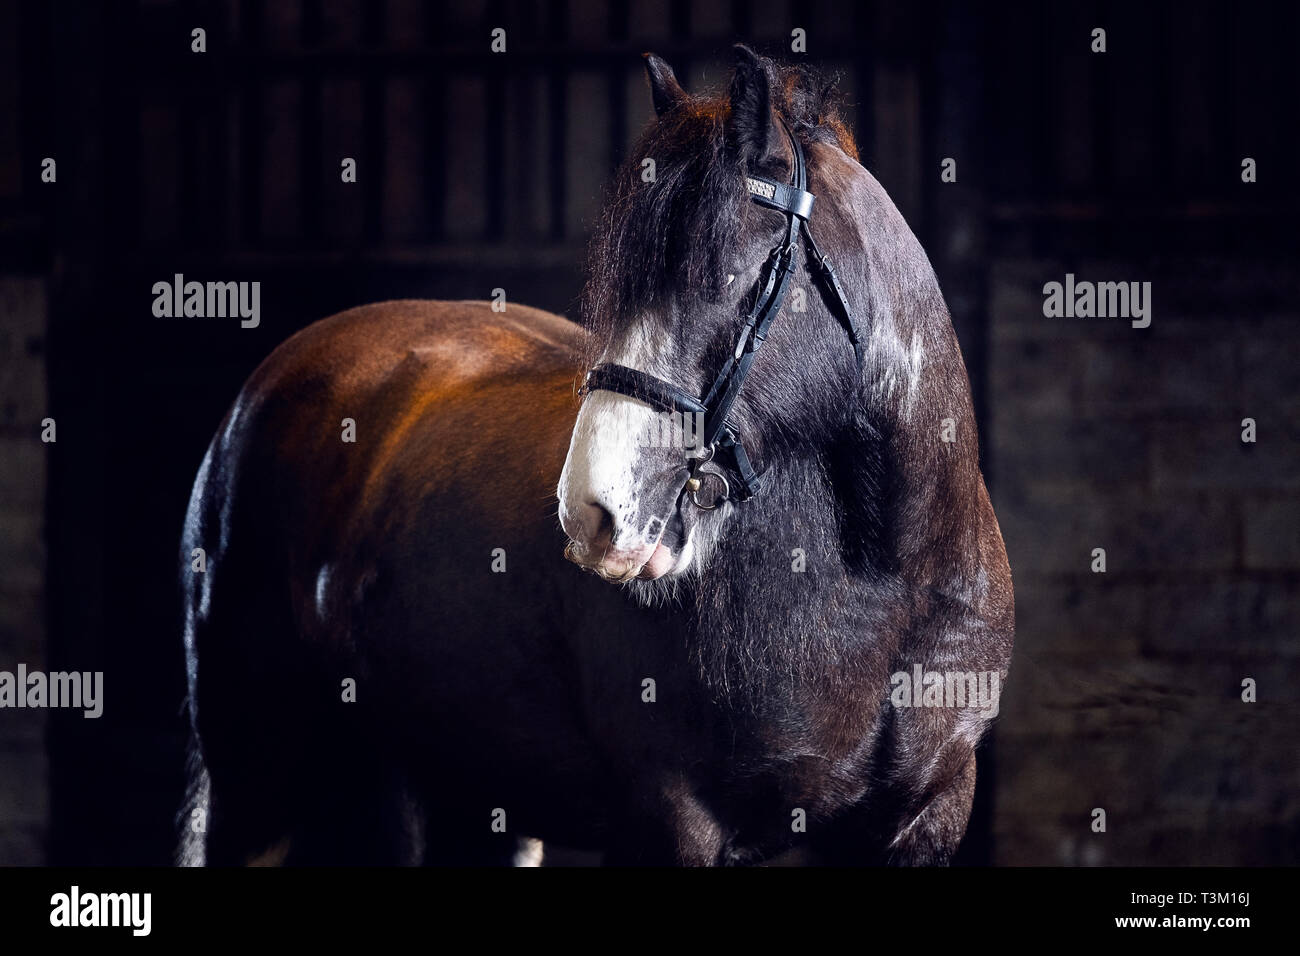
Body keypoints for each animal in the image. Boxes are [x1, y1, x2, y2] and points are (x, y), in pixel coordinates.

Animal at [180, 46, 1013, 868]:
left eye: (727, 276)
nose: (591, 511)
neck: (886, 588)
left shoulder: (925, 820)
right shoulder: (677, 823)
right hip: (253, 778)